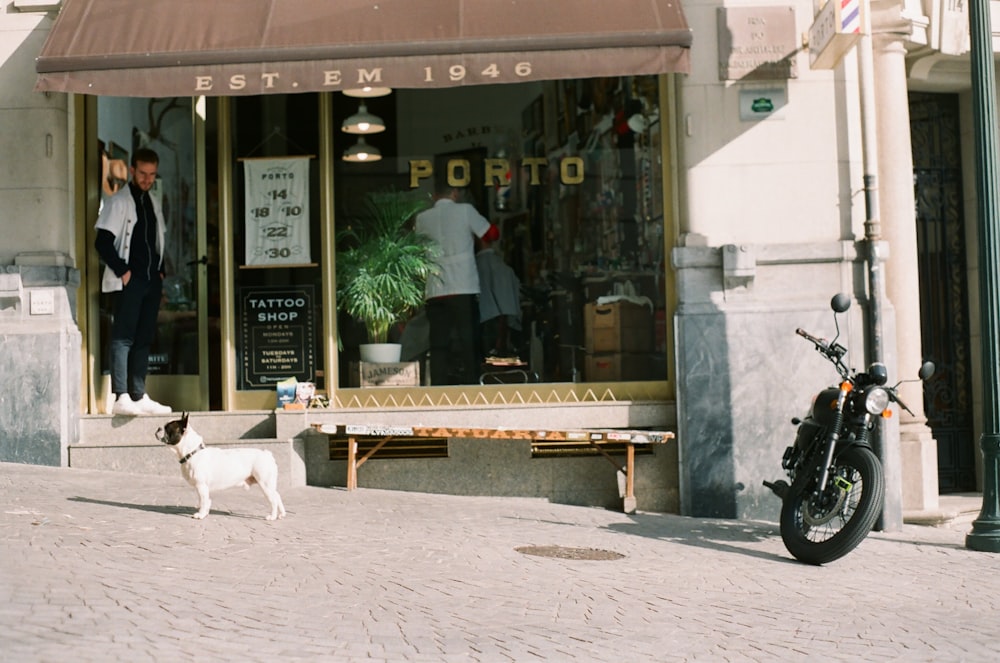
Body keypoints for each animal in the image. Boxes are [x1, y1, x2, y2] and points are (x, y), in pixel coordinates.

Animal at [154, 412, 286, 520]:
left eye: (167, 428)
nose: (158, 427)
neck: (192, 452)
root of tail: (267, 454)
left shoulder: (201, 486)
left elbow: (203, 501)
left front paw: (200, 515)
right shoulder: (201, 488)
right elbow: (205, 500)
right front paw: (205, 512)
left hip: (265, 483)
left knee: (273, 500)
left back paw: (272, 516)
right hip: (269, 484)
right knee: (278, 495)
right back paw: (281, 514)